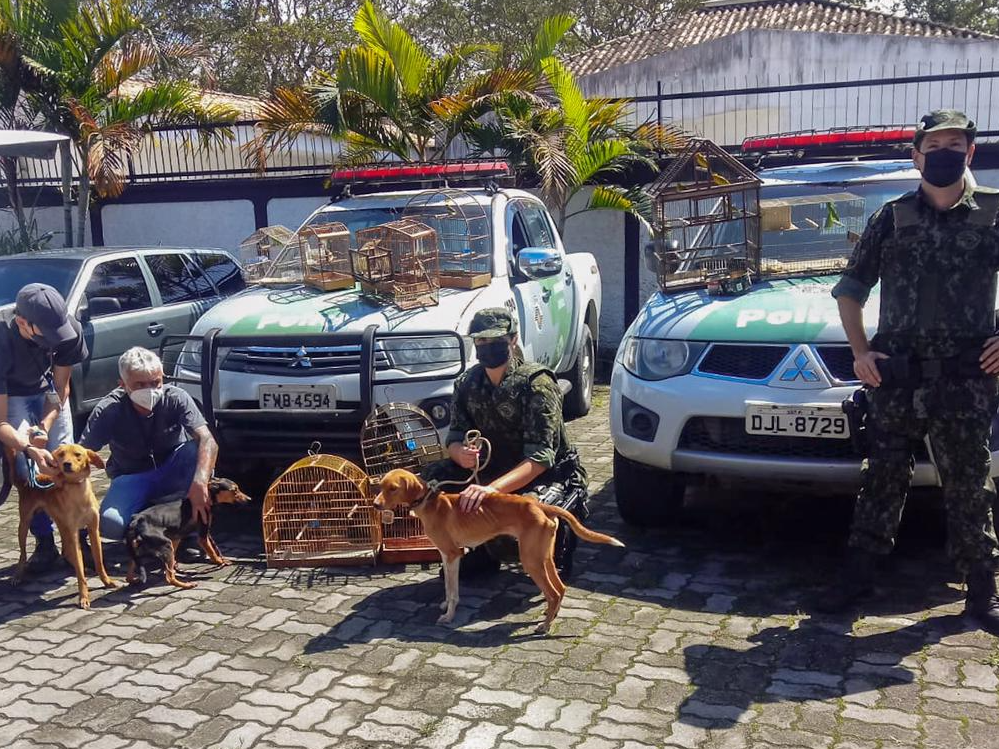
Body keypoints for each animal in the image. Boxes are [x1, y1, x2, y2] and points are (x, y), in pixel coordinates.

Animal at [8, 444, 121, 608]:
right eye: (61, 454)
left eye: (78, 454)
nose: (66, 464)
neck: (78, 491)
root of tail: (28, 482)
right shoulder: (74, 533)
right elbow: (80, 573)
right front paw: (83, 597)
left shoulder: (93, 530)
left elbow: (99, 561)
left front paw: (107, 582)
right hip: (26, 524)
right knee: (23, 554)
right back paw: (17, 576)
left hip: (62, 525)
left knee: (66, 552)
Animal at [376, 468, 624, 632]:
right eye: (380, 486)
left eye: (393, 488)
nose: (376, 505)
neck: (431, 504)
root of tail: (540, 505)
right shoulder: (446, 555)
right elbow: (447, 587)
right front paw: (445, 605)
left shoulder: (453, 554)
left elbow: (454, 591)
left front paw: (448, 616)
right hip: (544, 557)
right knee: (560, 588)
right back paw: (550, 616)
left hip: (531, 560)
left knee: (553, 592)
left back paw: (544, 626)